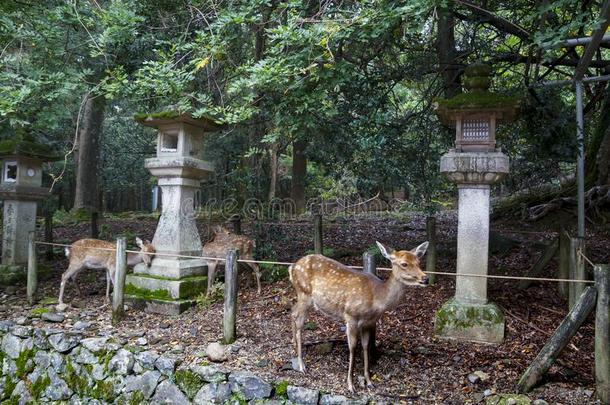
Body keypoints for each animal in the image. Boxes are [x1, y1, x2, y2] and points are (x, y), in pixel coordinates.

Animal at [286, 240, 426, 392]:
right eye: (404, 264)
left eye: (418, 262)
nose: (425, 278)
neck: (377, 299)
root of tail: (292, 267)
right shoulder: (351, 316)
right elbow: (352, 347)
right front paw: (350, 385)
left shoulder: (368, 322)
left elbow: (365, 346)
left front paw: (369, 381)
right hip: (304, 293)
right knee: (298, 319)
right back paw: (301, 365)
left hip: (303, 296)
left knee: (292, 311)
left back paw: (293, 344)